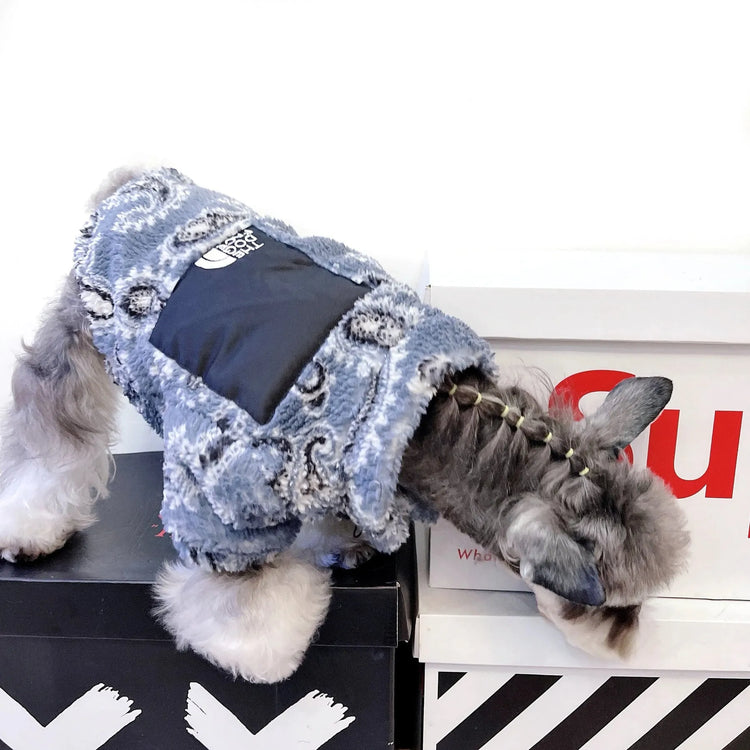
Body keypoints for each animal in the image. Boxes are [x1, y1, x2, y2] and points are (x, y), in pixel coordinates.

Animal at [0, 167, 688, 684]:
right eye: (614, 604)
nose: (633, 647)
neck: (426, 418)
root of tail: (135, 182)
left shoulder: (347, 465)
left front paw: (344, 543)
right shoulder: (224, 496)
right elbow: (242, 584)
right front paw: (263, 645)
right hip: (76, 344)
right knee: (50, 438)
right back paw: (31, 527)